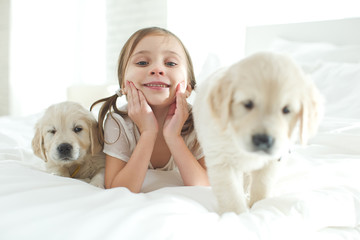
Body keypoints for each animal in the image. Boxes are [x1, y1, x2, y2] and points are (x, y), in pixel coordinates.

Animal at [194, 52, 324, 214]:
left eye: (286, 109)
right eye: (248, 104)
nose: (263, 140)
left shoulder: (274, 159)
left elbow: (262, 184)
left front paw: (259, 204)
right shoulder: (222, 161)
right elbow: (231, 193)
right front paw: (238, 214)